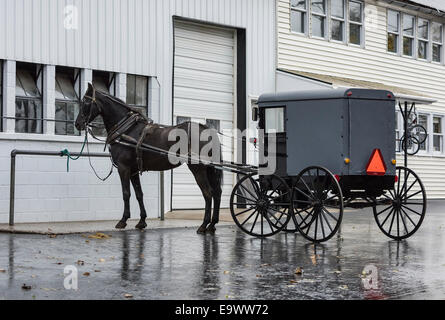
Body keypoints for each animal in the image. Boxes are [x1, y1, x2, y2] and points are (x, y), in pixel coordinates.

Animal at [76, 82, 224, 232]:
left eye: (86, 102)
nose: (77, 124)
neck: (126, 130)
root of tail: (207, 130)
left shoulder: (123, 168)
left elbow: (126, 193)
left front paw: (123, 220)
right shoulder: (133, 170)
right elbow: (139, 194)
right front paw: (142, 221)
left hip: (198, 168)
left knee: (208, 193)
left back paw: (204, 225)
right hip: (210, 169)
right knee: (217, 192)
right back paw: (212, 224)